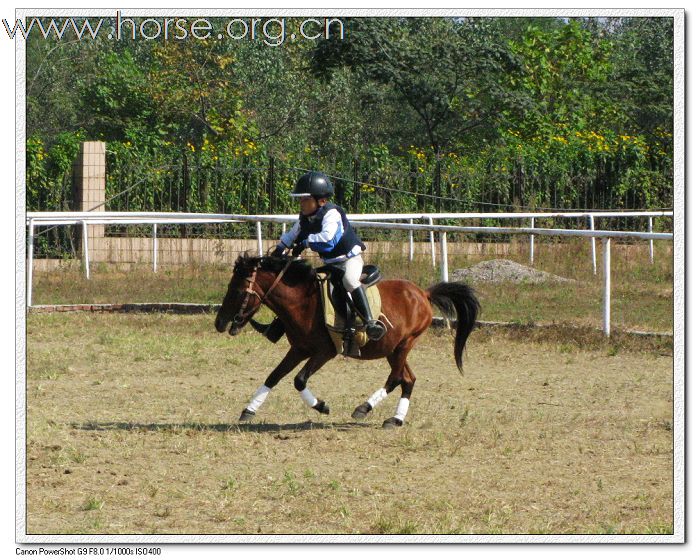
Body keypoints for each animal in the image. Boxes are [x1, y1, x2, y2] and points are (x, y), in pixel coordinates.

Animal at [216, 254, 478, 428]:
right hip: (393, 349)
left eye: (237, 290)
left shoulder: (324, 352)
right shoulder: (299, 349)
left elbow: (299, 380)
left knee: (395, 378)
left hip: (405, 344)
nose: (219, 323)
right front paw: (249, 410)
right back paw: (395, 419)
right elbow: (274, 376)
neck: (303, 303)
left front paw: (321, 406)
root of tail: (424, 293)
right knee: (408, 379)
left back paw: (363, 408)